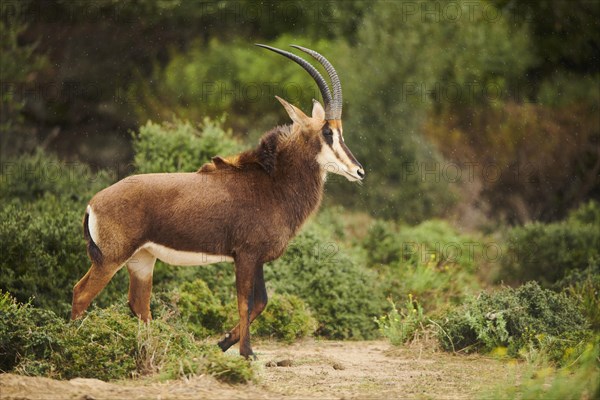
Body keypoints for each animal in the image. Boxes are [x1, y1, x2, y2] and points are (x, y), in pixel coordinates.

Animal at [68, 44, 364, 360]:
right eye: (327, 132)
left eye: (340, 132)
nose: (359, 171)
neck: (272, 183)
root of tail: (93, 203)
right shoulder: (246, 255)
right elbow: (246, 302)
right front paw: (247, 353)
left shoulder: (256, 259)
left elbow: (261, 302)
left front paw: (222, 343)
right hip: (110, 260)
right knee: (81, 293)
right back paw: (72, 342)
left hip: (142, 260)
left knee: (139, 304)